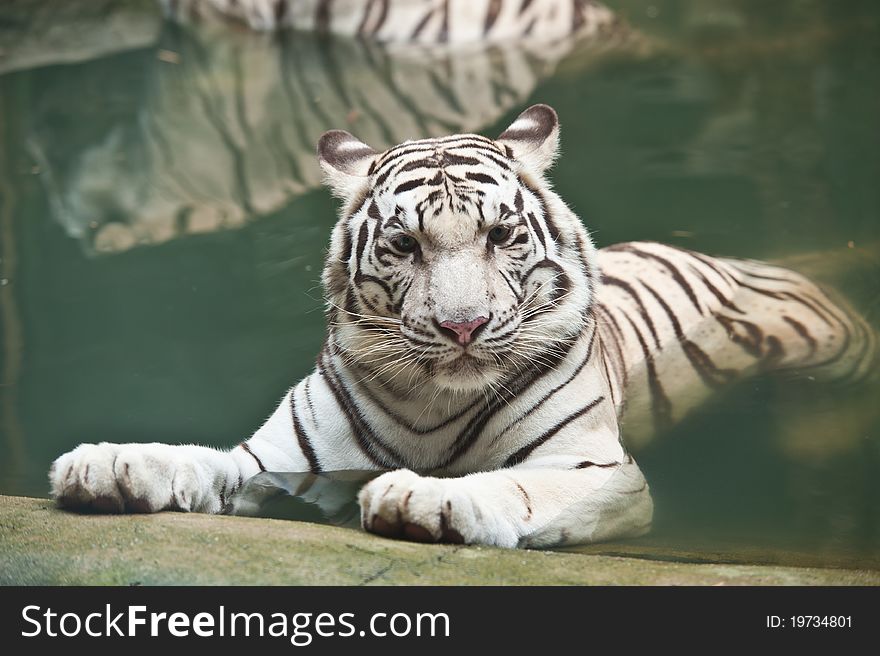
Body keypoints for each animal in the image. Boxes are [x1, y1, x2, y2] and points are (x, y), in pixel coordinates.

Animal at [51, 105, 876, 548]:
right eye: (405, 245)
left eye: (500, 236)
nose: (463, 326)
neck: (430, 398)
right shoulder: (278, 463)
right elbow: (199, 460)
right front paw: (110, 465)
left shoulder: (598, 472)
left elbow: (516, 486)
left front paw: (426, 499)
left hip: (838, 342)